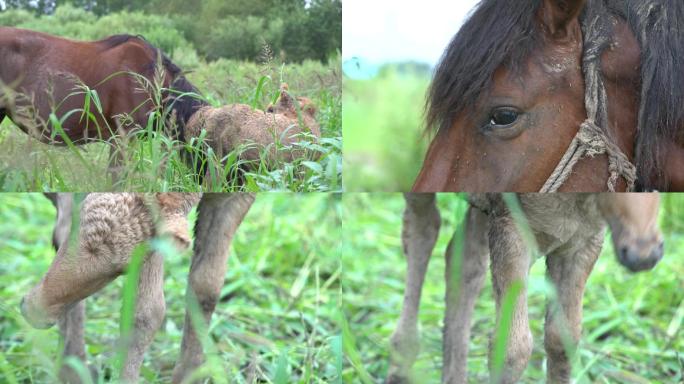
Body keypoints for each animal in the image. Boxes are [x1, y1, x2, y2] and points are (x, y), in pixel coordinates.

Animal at [390, 194, 664, 384]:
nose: (644, 253)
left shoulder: (585, 240)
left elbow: (563, 339)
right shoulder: (510, 227)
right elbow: (512, 349)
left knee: (463, 256)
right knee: (424, 226)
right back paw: (401, 360)